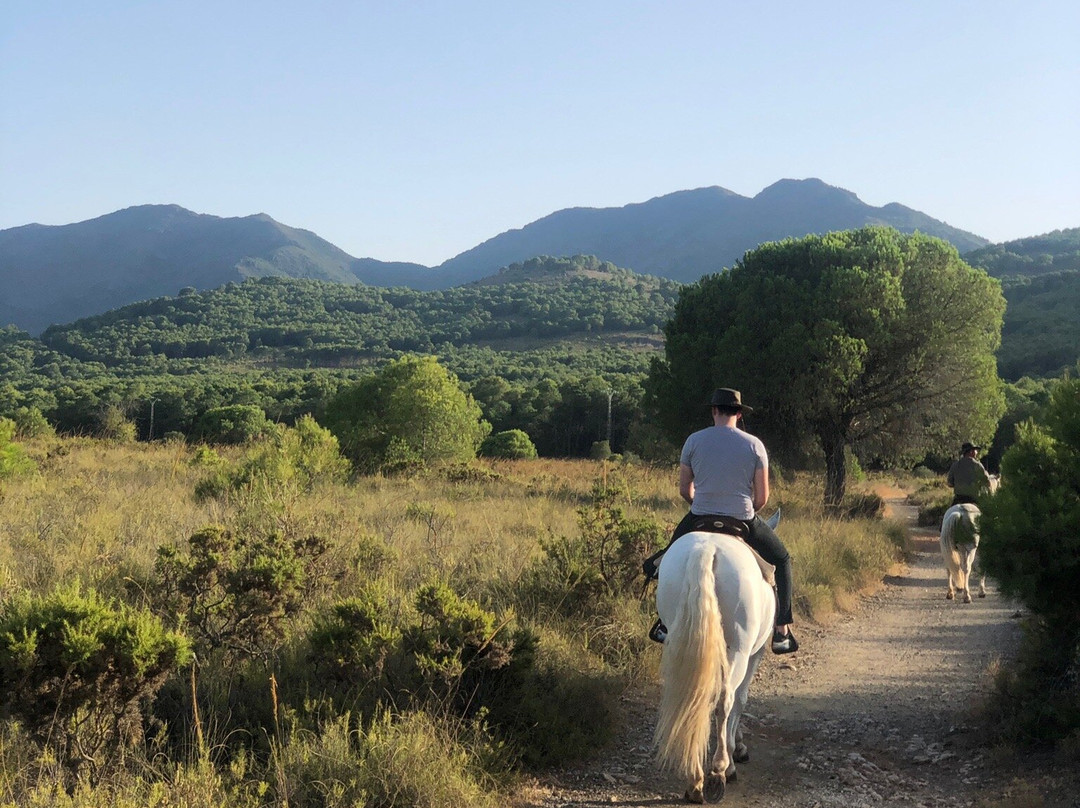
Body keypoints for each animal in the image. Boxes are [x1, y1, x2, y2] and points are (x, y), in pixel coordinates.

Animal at [648, 529, 777, 803]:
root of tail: (705, 550)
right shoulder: (754, 654)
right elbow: (741, 699)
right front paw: (736, 751)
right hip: (739, 650)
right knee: (724, 699)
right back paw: (718, 772)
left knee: (693, 697)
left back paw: (694, 781)